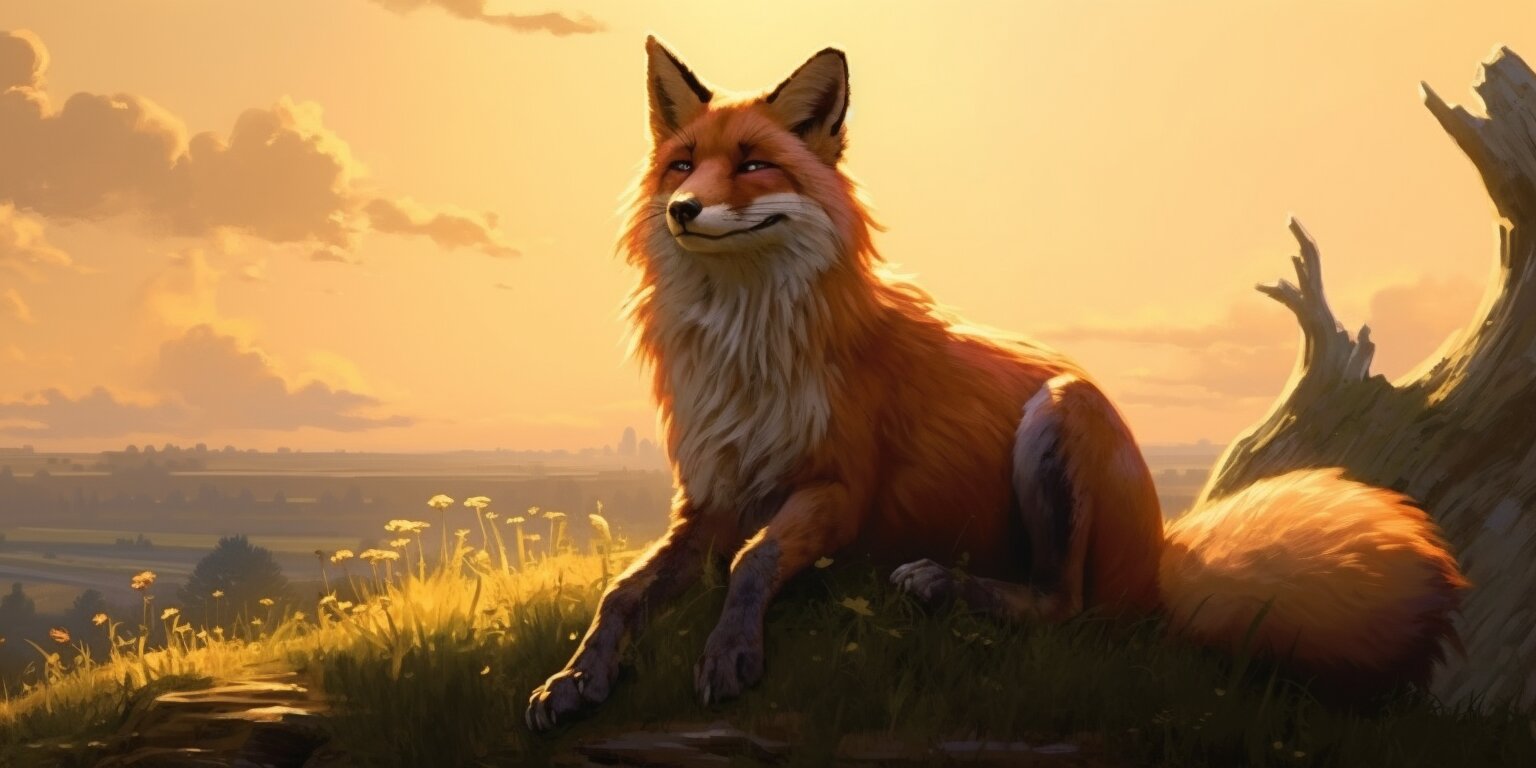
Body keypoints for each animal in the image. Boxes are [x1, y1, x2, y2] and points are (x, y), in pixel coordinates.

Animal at [526, 37, 1468, 730]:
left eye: (754, 165)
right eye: (683, 166)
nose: (684, 212)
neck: (747, 348)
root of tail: (1165, 558)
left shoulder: (838, 488)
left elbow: (754, 561)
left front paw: (730, 651)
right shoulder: (708, 500)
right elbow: (620, 594)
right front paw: (575, 677)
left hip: (1060, 417)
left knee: (1071, 608)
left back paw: (940, 583)